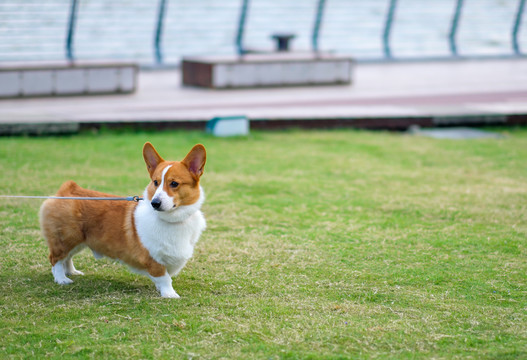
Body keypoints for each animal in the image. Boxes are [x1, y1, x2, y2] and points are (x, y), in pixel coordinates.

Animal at [38, 143, 206, 298]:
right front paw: (169, 294)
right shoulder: (153, 259)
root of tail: (67, 189)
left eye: (174, 183)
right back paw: (61, 279)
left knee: (67, 258)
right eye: (155, 182)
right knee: (55, 259)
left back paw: (72, 272)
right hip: (66, 239)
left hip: (78, 241)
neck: (173, 220)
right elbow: (164, 278)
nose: (155, 203)